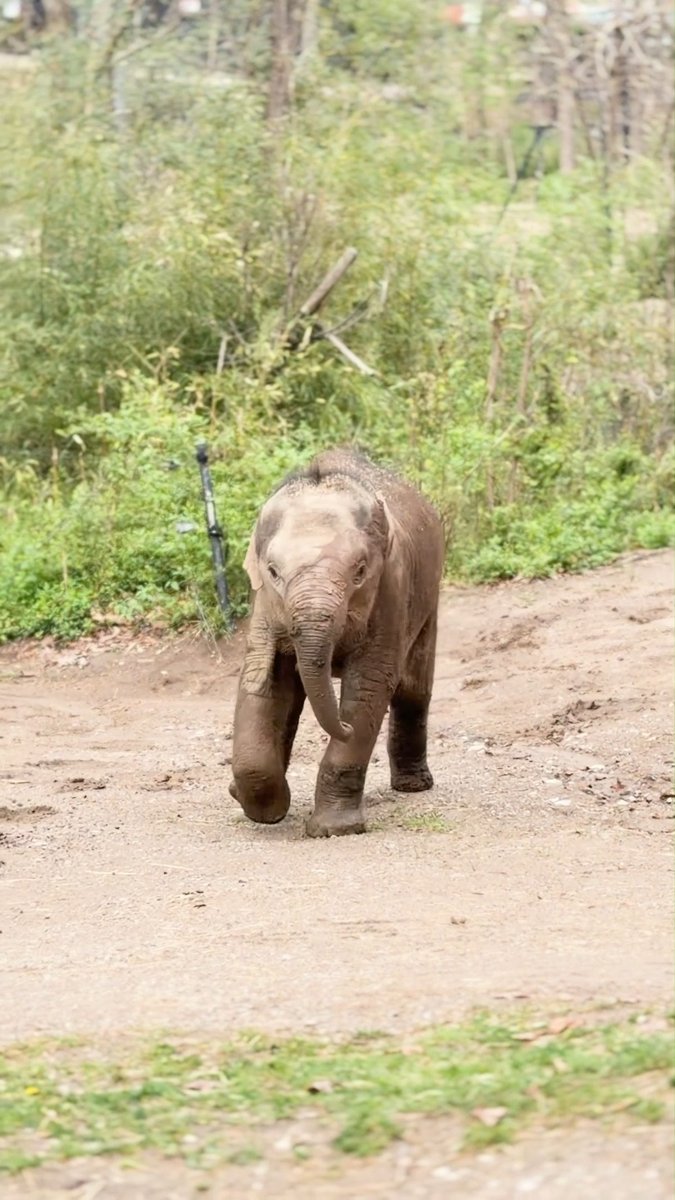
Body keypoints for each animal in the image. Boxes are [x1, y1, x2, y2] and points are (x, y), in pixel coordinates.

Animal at [229, 448, 444, 838]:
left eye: (359, 572)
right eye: (273, 572)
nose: (342, 727)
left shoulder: (391, 587)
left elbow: (370, 685)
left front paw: (334, 829)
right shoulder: (264, 604)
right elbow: (262, 680)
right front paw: (265, 810)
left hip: (429, 594)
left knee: (413, 689)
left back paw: (414, 786)